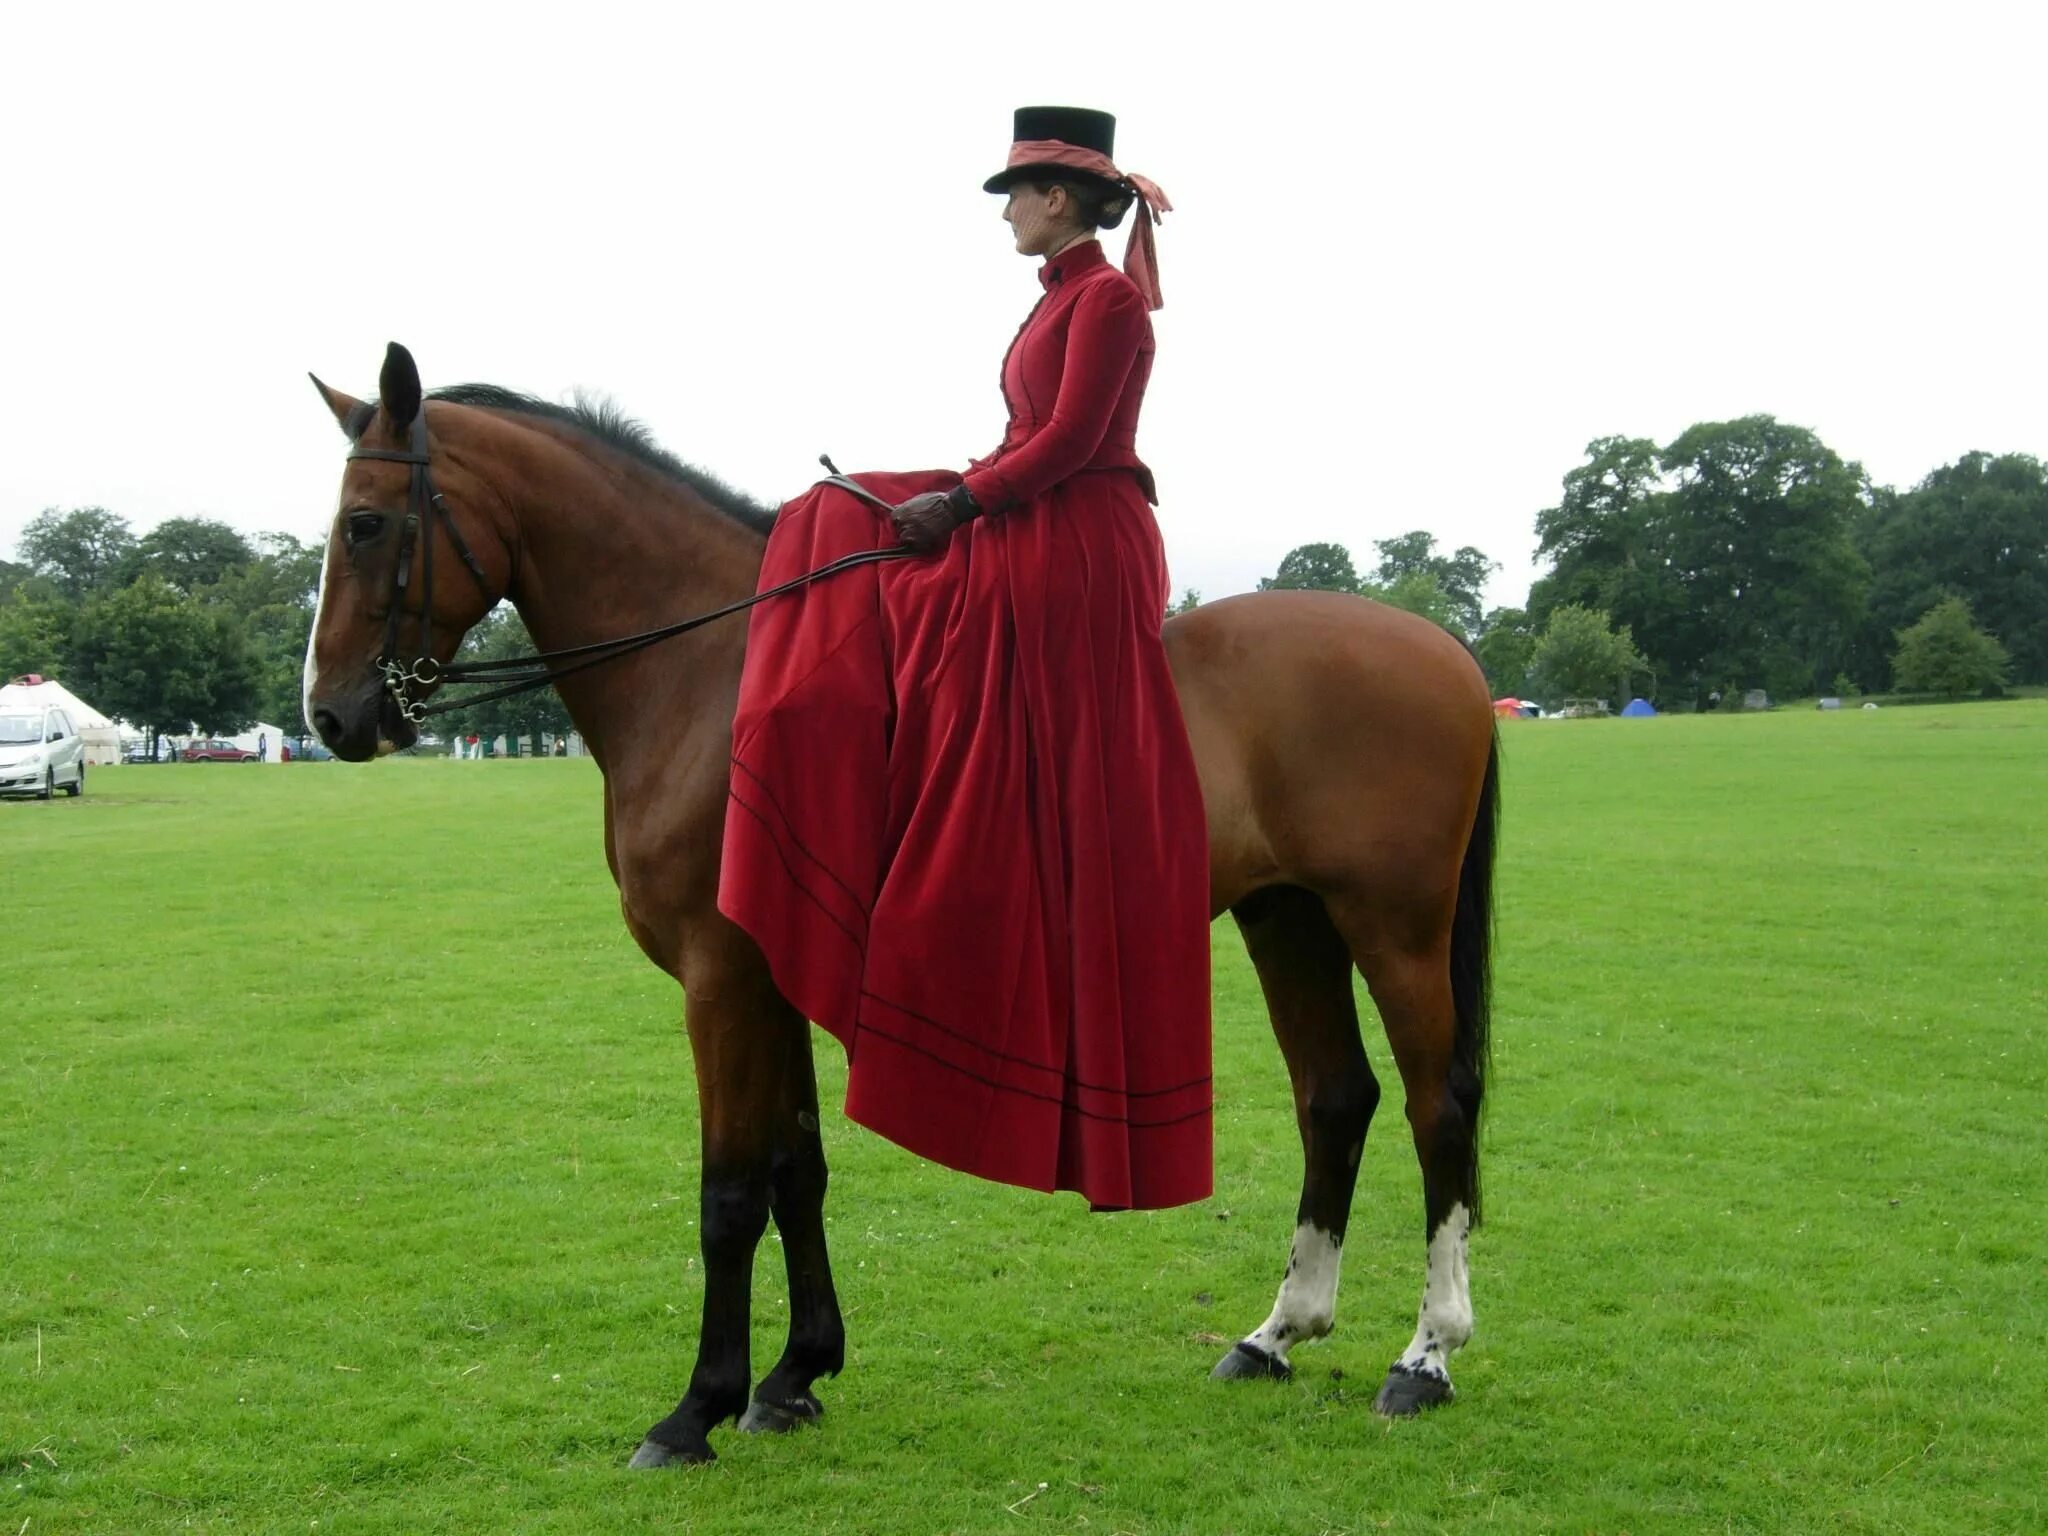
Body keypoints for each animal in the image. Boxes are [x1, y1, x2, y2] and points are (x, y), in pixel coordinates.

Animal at [303, 342, 1499, 1474]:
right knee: (1335, 1100)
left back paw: (1426, 1354)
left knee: (1433, 1106)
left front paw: (694, 1410)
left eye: (365, 523)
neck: (715, 669)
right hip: (1289, 919)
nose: (331, 717)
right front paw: (793, 1376)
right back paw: (1276, 1334)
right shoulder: (768, 974)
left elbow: (728, 1195)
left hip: (1392, 928)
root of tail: (1441, 646)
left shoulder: (719, 979)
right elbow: (796, 1172)